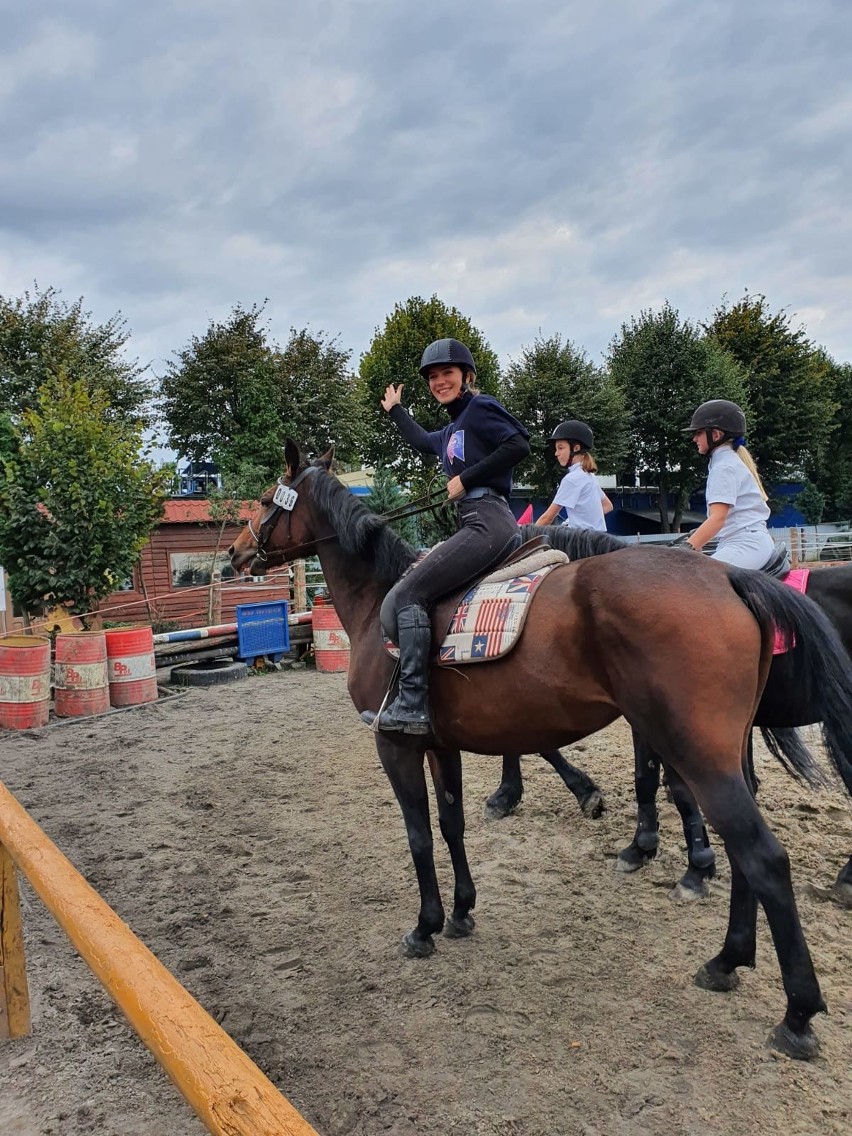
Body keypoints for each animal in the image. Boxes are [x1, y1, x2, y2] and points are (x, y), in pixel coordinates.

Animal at [228, 440, 852, 1054]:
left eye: (266, 497)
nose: (235, 552)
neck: (379, 596)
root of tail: (725, 578)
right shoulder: (440, 745)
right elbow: (452, 825)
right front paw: (462, 911)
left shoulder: (395, 745)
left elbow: (419, 836)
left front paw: (426, 926)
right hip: (720, 754)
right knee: (744, 853)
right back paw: (727, 961)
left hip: (698, 754)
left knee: (763, 858)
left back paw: (797, 1013)